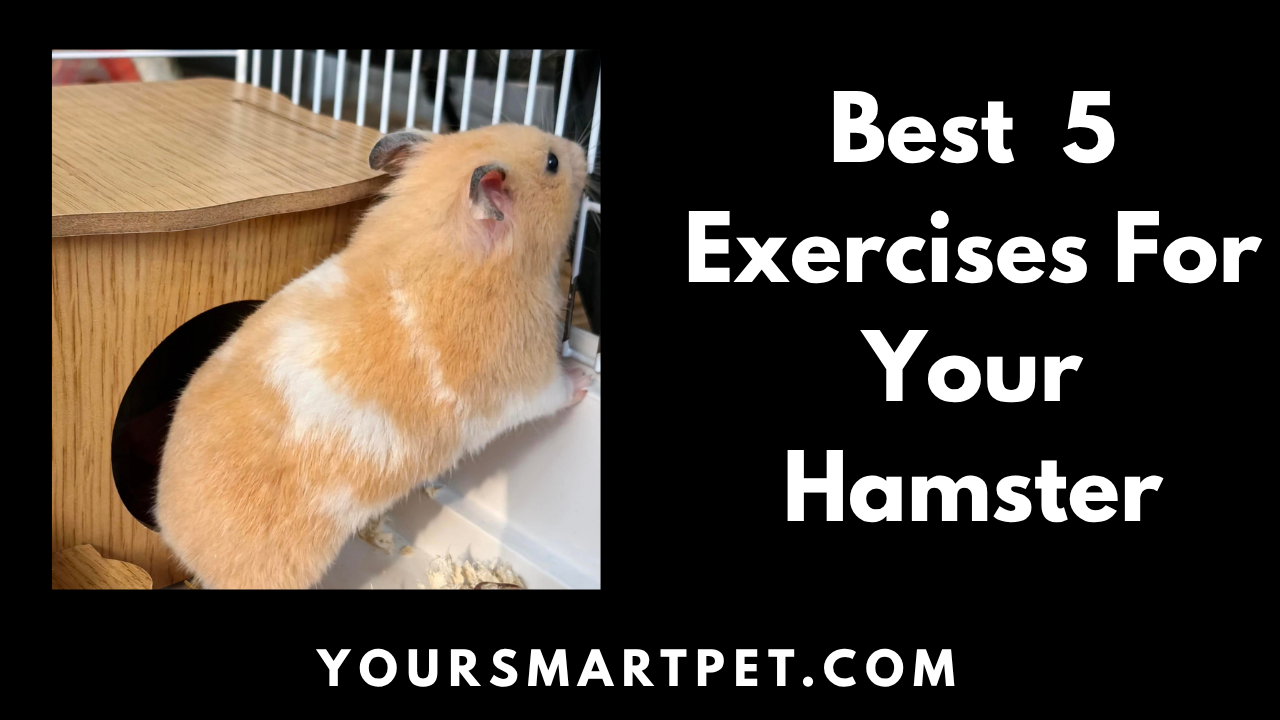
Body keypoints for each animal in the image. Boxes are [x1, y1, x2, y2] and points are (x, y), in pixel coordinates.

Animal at [154, 123, 592, 589]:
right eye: (552, 163)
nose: (582, 150)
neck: (440, 241)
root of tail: (172, 533)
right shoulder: (526, 376)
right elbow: (557, 389)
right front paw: (585, 379)